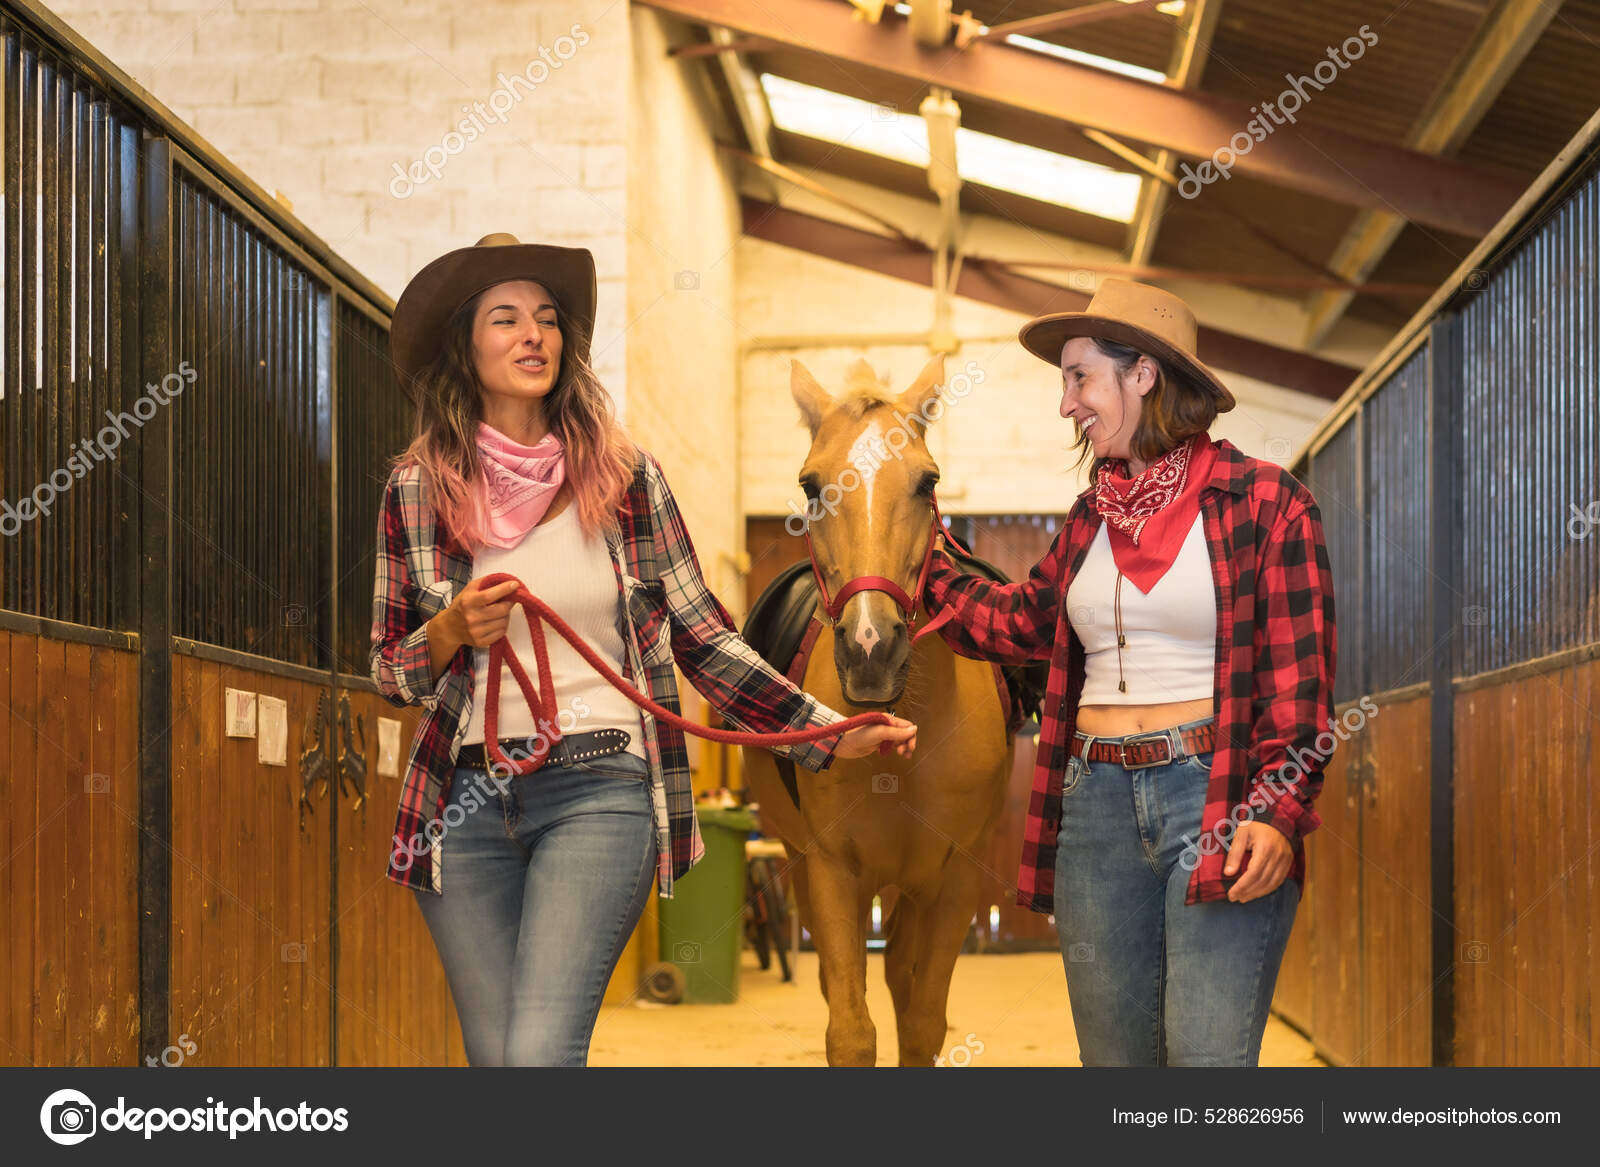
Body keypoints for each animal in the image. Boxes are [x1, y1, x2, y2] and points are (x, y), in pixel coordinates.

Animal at [742, 355, 1017, 1062]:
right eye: (811, 486)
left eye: (928, 481)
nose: (871, 647)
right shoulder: (832, 873)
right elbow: (851, 1029)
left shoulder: (953, 884)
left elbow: (921, 1021)